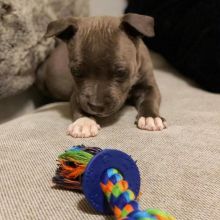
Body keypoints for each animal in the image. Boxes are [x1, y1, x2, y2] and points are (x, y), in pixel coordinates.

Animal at [36, 13, 167, 138]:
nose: (96, 106)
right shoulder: (77, 94)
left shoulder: (149, 86)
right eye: (76, 71)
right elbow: (78, 104)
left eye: (120, 72)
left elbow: (149, 99)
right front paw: (84, 122)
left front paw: (150, 117)